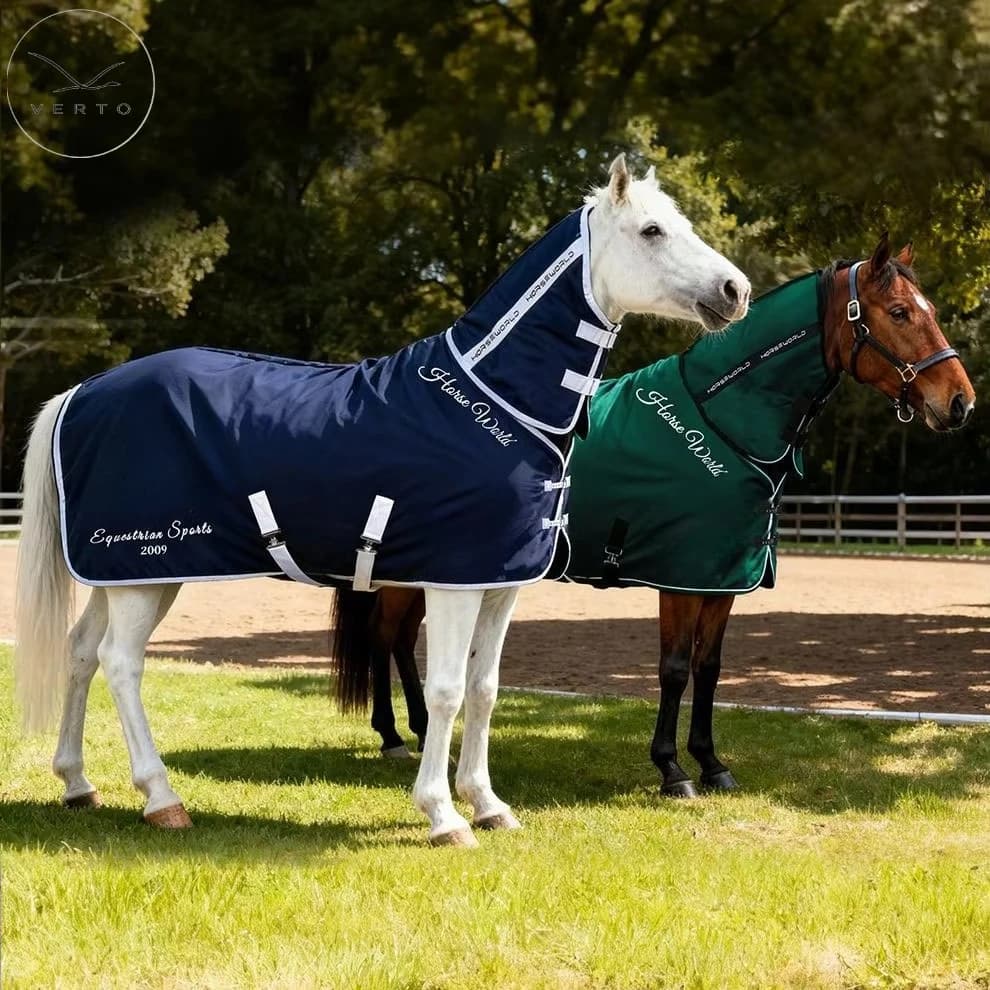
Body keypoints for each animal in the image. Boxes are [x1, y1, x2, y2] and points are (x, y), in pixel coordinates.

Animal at [14, 154, 751, 846]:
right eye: (652, 231)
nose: (735, 290)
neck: (492, 400)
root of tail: (81, 392)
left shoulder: (501, 584)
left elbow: (484, 690)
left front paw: (489, 805)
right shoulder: (453, 581)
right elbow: (447, 689)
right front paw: (443, 815)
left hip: (125, 572)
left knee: (82, 652)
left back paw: (77, 783)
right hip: (146, 572)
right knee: (121, 664)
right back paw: (162, 799)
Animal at [338, 235, 976, 801]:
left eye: (928, 311)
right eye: (899, 312)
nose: (959, 401)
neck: (723, 421)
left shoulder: (721, 580)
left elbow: (709, 667)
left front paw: (713, 763)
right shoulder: (681, 577)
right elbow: (673, 668)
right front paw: (673, 770)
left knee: (400, 640)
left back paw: (418, 731)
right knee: (385, 636)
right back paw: (396, 735)